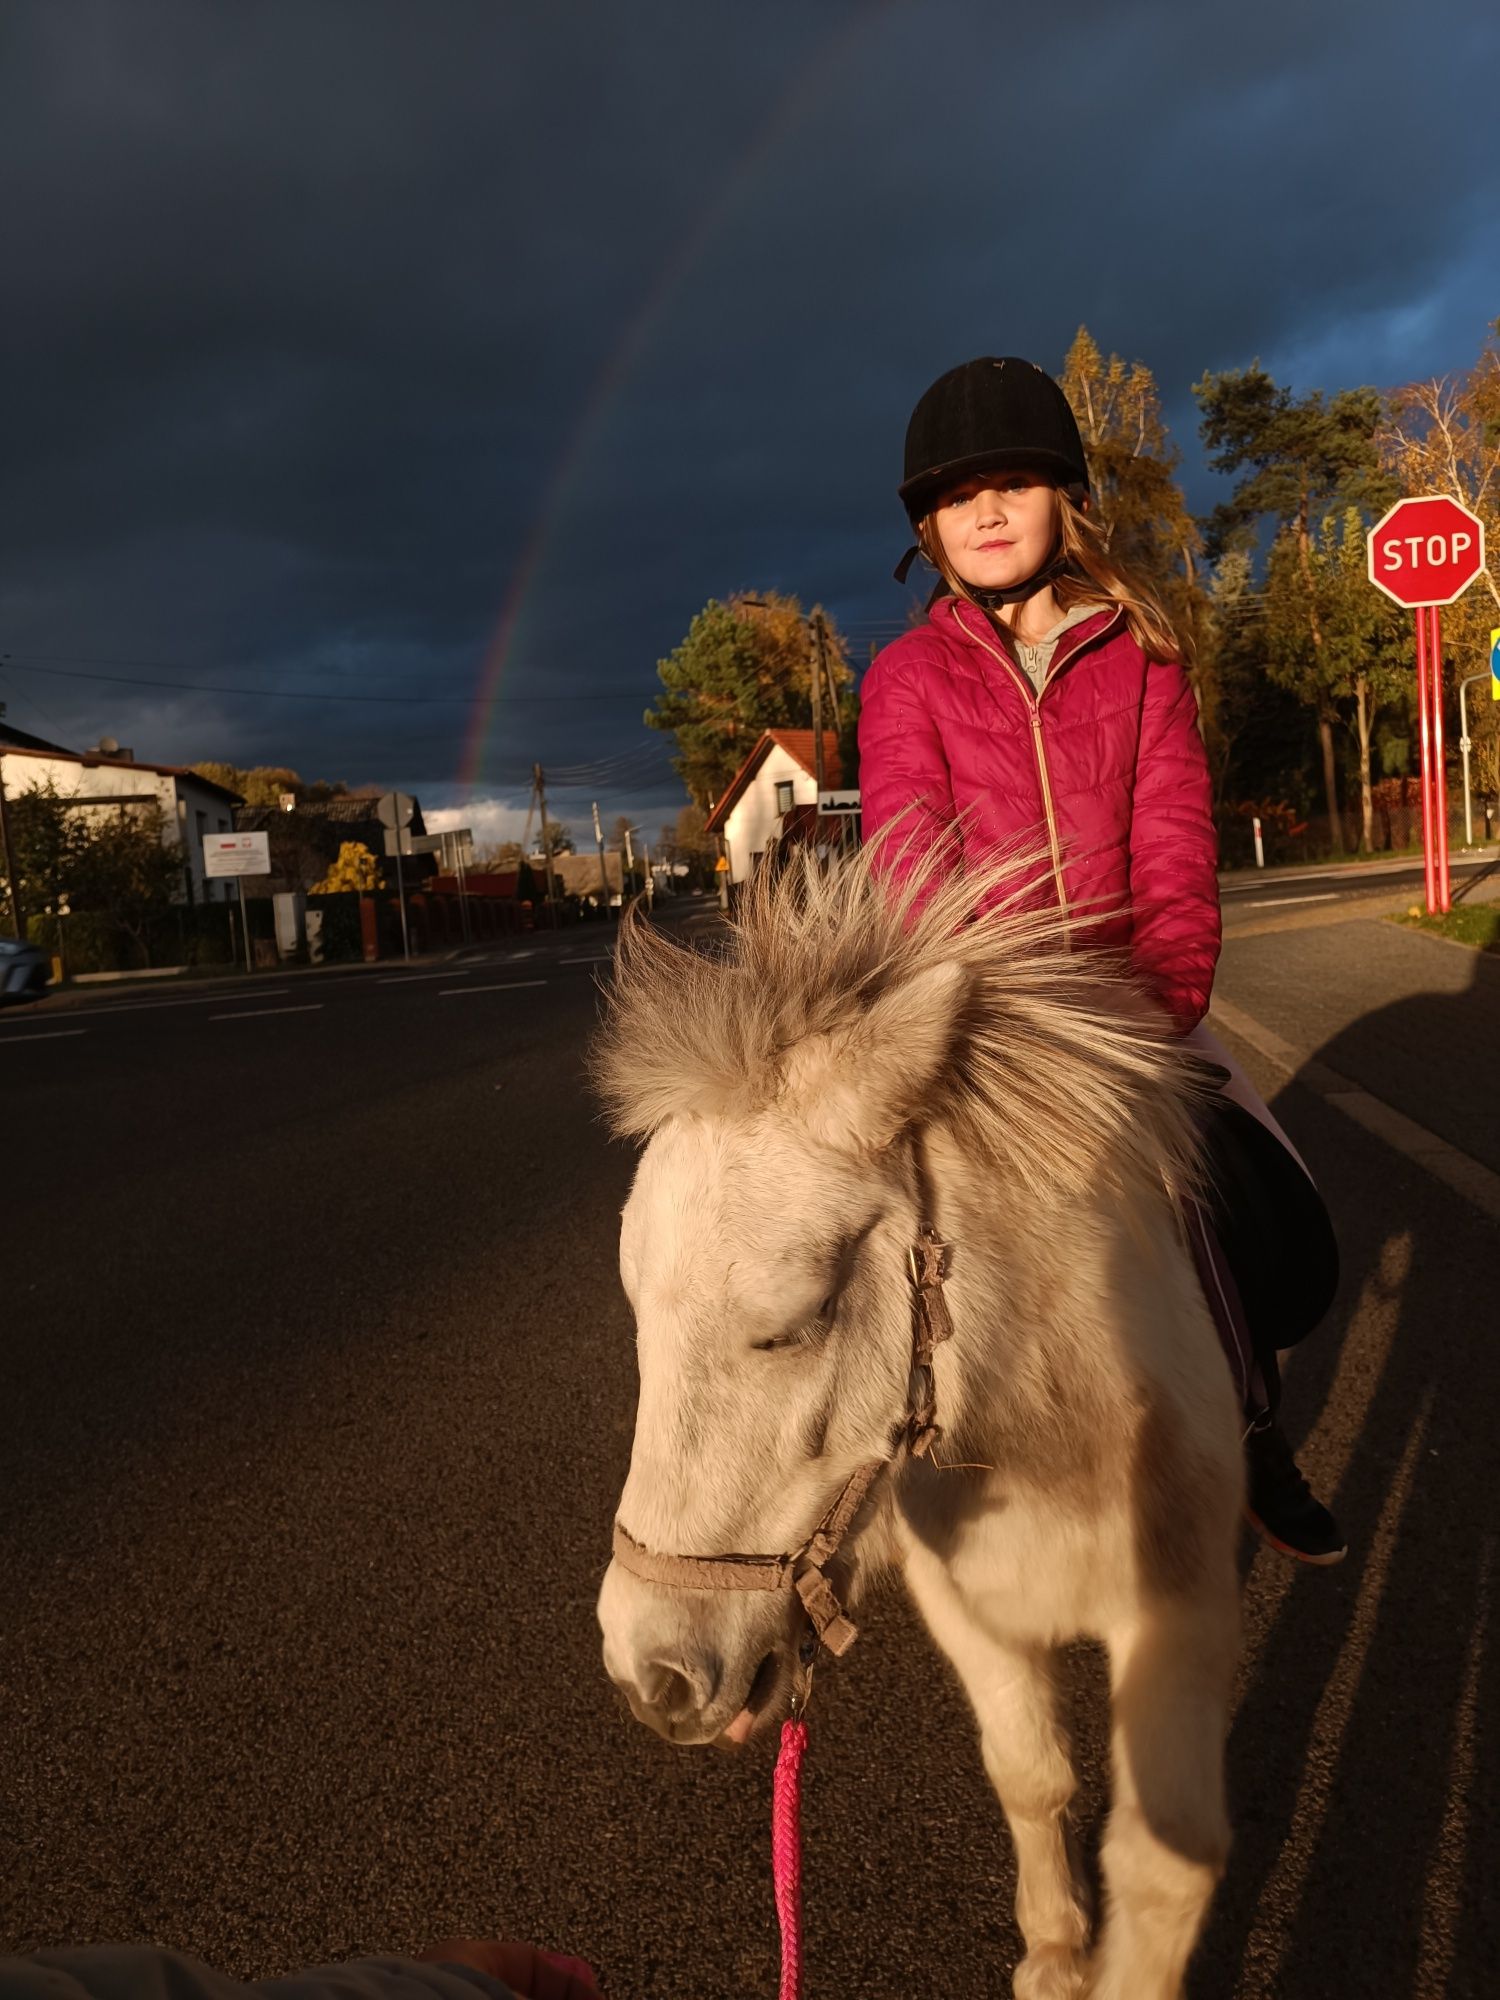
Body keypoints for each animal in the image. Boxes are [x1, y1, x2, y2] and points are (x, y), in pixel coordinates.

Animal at [592, 848, 1240, 2000]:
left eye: (795, 1321)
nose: (649, 1672)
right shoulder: (971, 1609)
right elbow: (1028, 1775)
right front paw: (1055, 1953)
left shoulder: (1182, 1620)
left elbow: (1163, 1867)